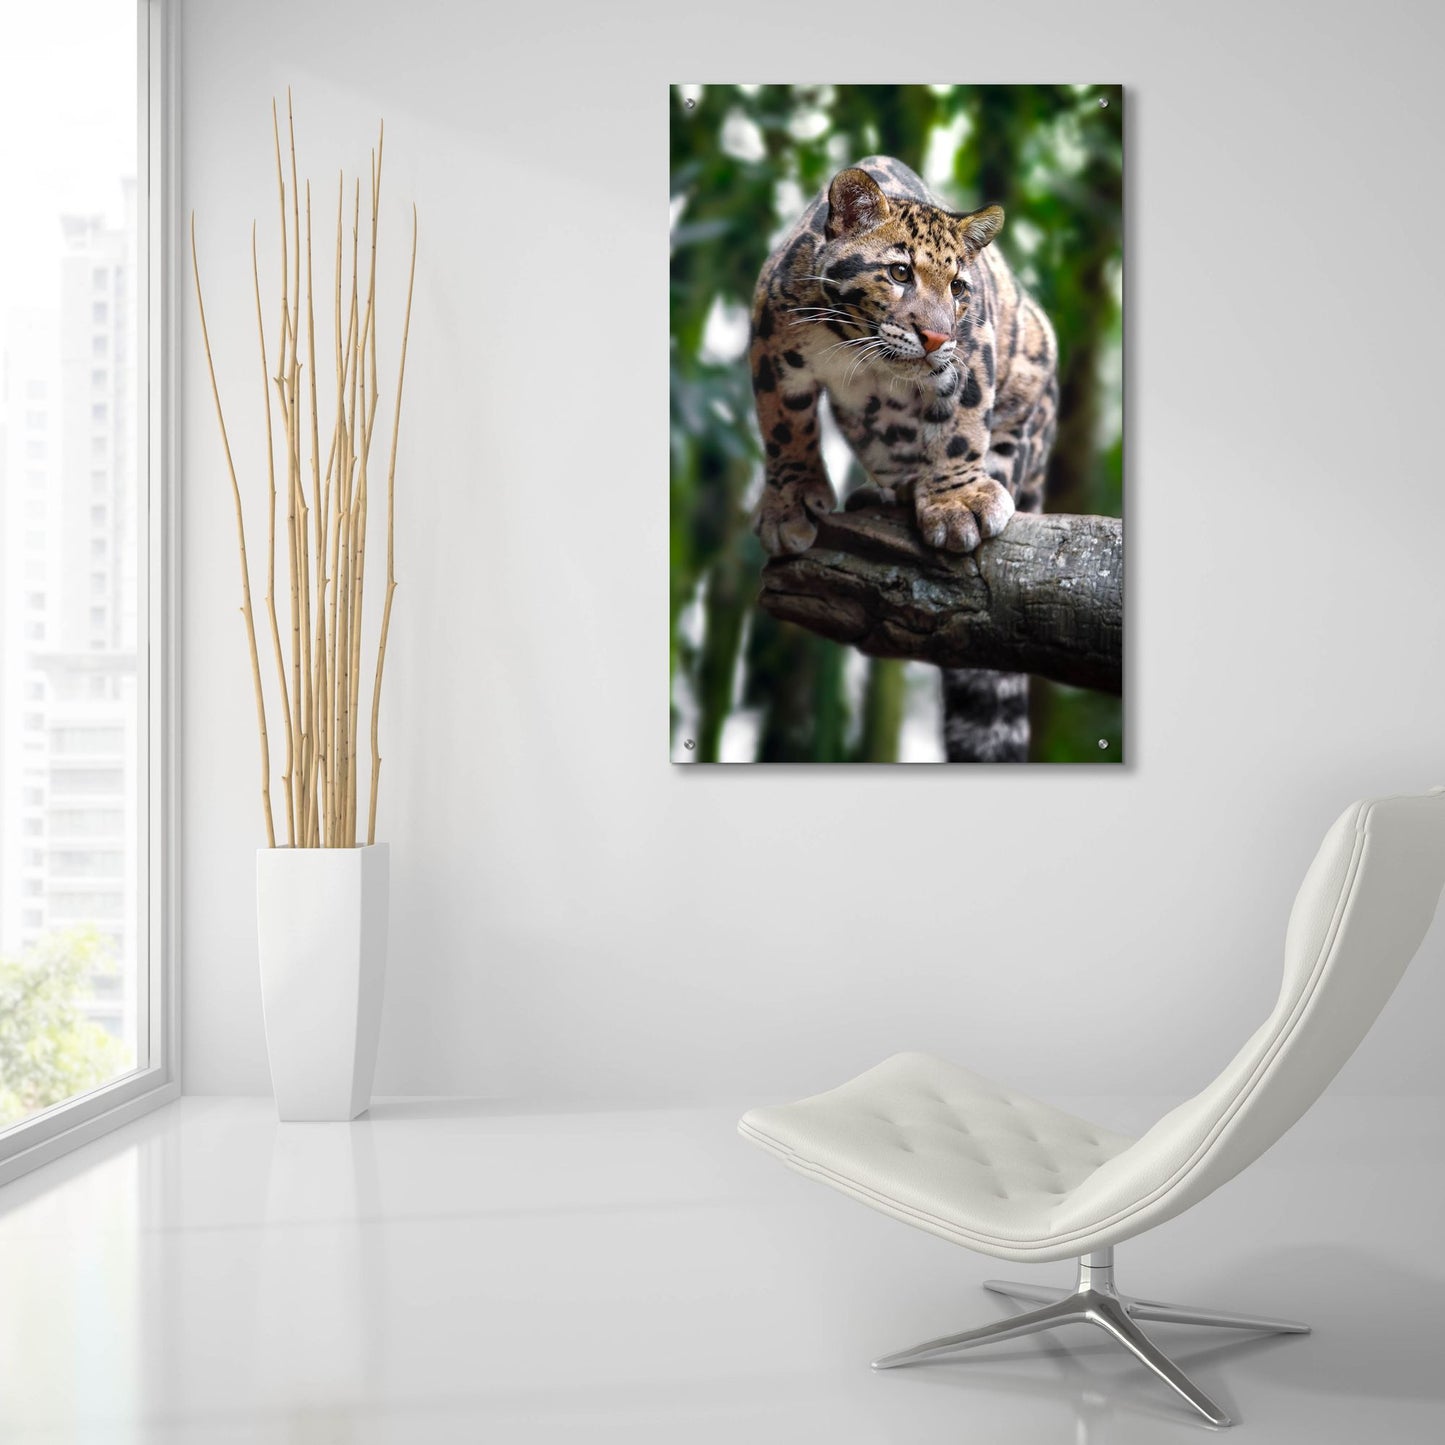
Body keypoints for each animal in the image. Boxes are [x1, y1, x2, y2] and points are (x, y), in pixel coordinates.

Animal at [748, 155, 1059, 762]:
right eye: (898, 274)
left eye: (959, 287)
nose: (935, 336)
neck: (858, 349)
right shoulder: (770, 336)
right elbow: (784, 428)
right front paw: (790, 506)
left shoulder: (973, 349)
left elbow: (961, 426)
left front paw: (958, 503)